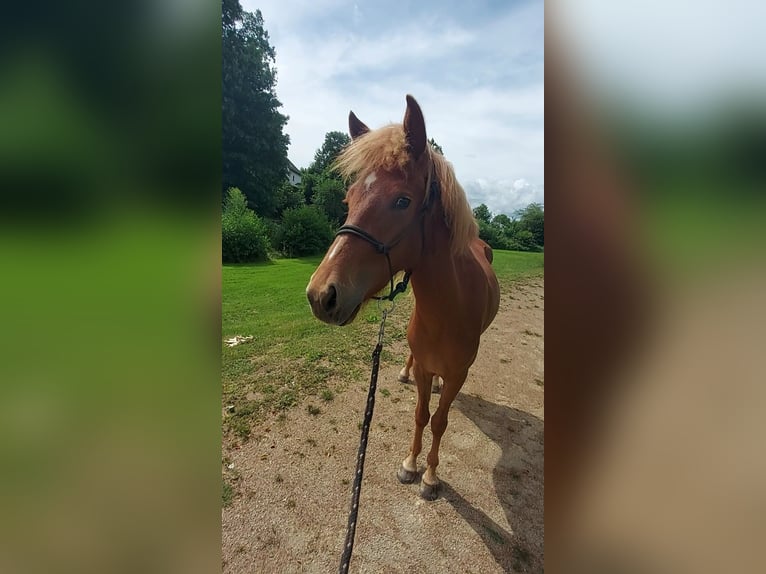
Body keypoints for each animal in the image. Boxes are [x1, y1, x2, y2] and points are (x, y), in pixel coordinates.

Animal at [306, 95, 500, 500]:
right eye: (349, 198)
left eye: (402, 201)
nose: (320, 294)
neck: (449, 310)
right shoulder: (426, 367)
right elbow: (421, 415)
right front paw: (411, 464)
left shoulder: (459, 374)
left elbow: (440, 421)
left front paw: (430, 476)